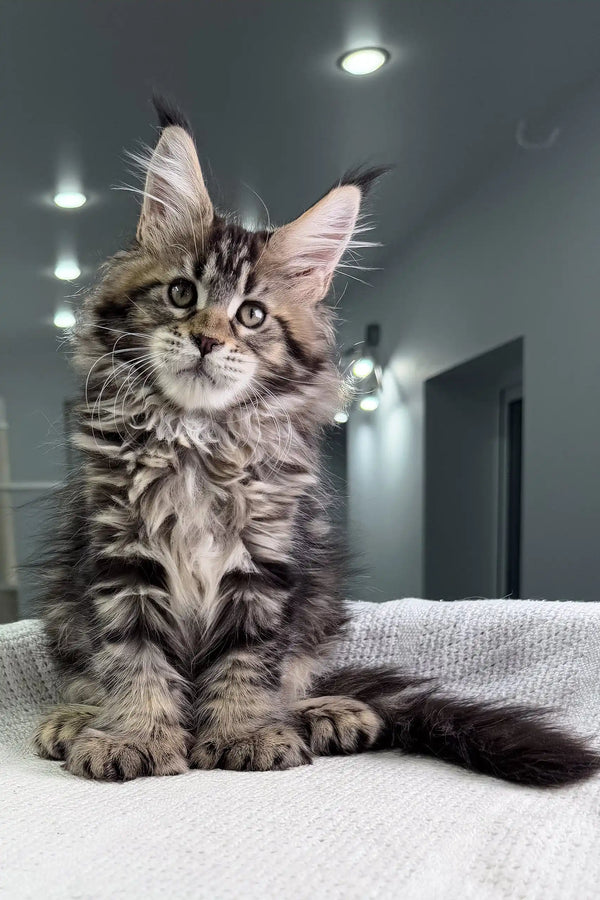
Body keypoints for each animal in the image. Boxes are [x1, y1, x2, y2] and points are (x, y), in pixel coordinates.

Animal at [34, 102, 600, 784]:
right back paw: (73, 721)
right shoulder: (121, 555)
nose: (206, 340)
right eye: (181, 294)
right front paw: (134, 734)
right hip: (64, 611)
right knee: (85, 676)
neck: (198, 437)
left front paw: (244, 731)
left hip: (319, 608)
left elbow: (249, 661)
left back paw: (326, 712)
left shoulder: (266, 560)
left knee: (297, 679)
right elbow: (134, 657)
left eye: (251, 315)